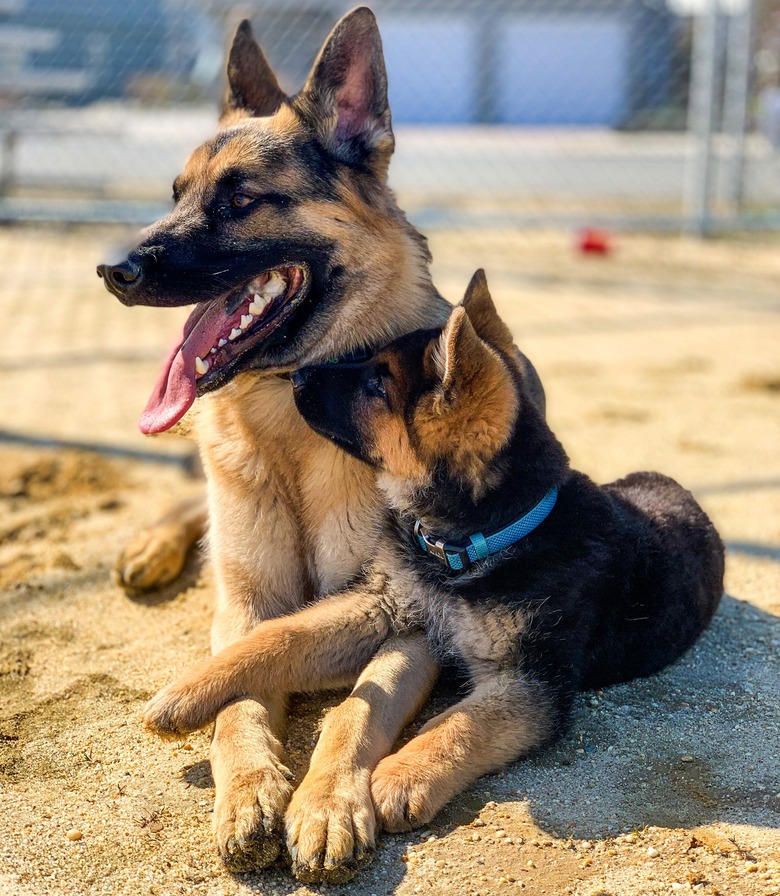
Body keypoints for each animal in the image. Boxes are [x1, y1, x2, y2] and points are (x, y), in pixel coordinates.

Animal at [142, 272, 724, 876]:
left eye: (377, 383)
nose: (297, 374)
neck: (481, 537)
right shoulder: (388, 606)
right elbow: (278, 635)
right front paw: (183, 694)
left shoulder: (532, 683)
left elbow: (461, 724)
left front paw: (397, 778)